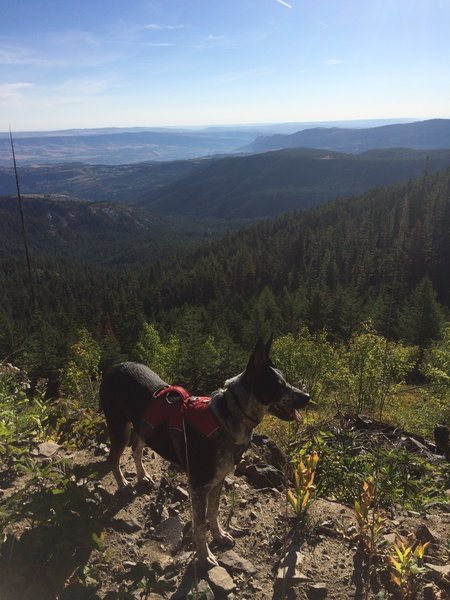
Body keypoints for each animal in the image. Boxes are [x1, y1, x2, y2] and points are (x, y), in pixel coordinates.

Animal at [99, 338, 310, 568]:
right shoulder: (198, 486)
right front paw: (204, 555)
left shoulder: (218, 480)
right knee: (113, 458)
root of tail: (114, 367)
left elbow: (214, 513)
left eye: (286, 381)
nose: (307, 397)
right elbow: (200, 526)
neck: (227, 418)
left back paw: (142, 476)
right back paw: (123, 484)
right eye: (278, 385)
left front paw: (219, 536)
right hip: (119, 426)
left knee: (136, 450)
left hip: (143, 427)